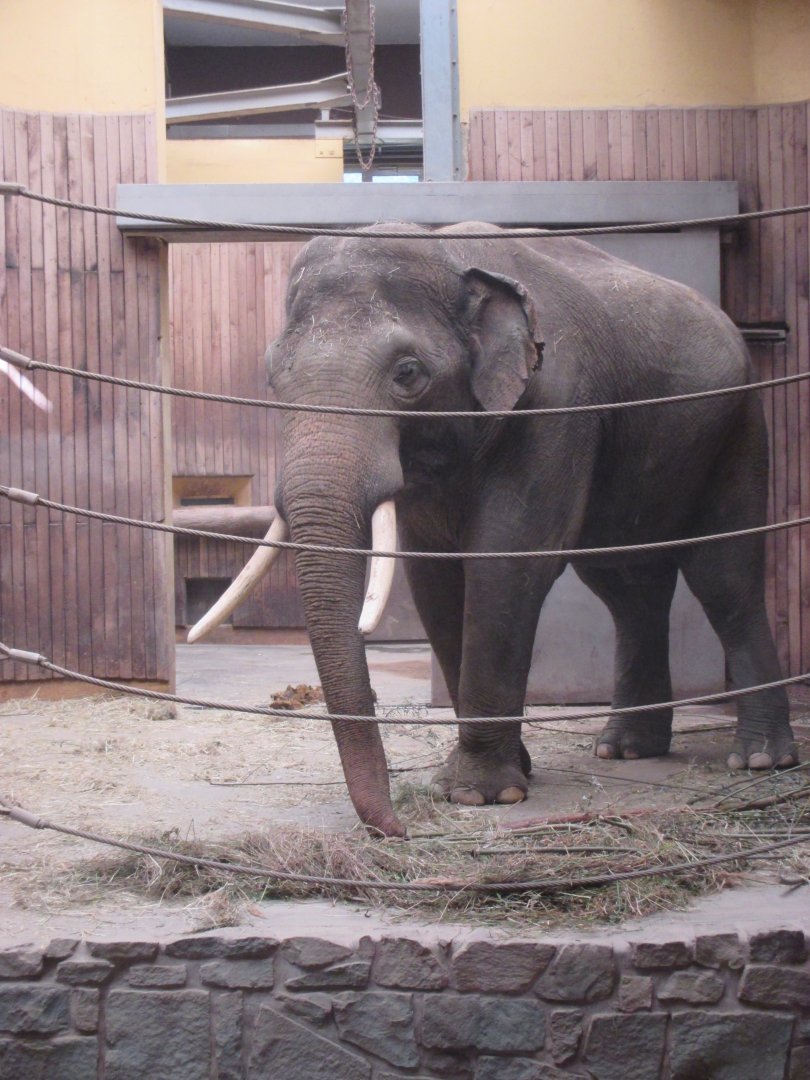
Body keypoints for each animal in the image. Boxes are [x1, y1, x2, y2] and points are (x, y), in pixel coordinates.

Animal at [189, 222, 798, 838]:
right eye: (272, 377)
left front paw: (480, 793)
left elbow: (505, 566)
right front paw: (500, 774)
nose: (398, 829)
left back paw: (759, 759)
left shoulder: (553, 409)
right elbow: (434, 582)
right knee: (626, 586)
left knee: (723, 577)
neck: (451, 257)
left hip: (739, 427)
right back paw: (626, 749)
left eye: (407, 373)